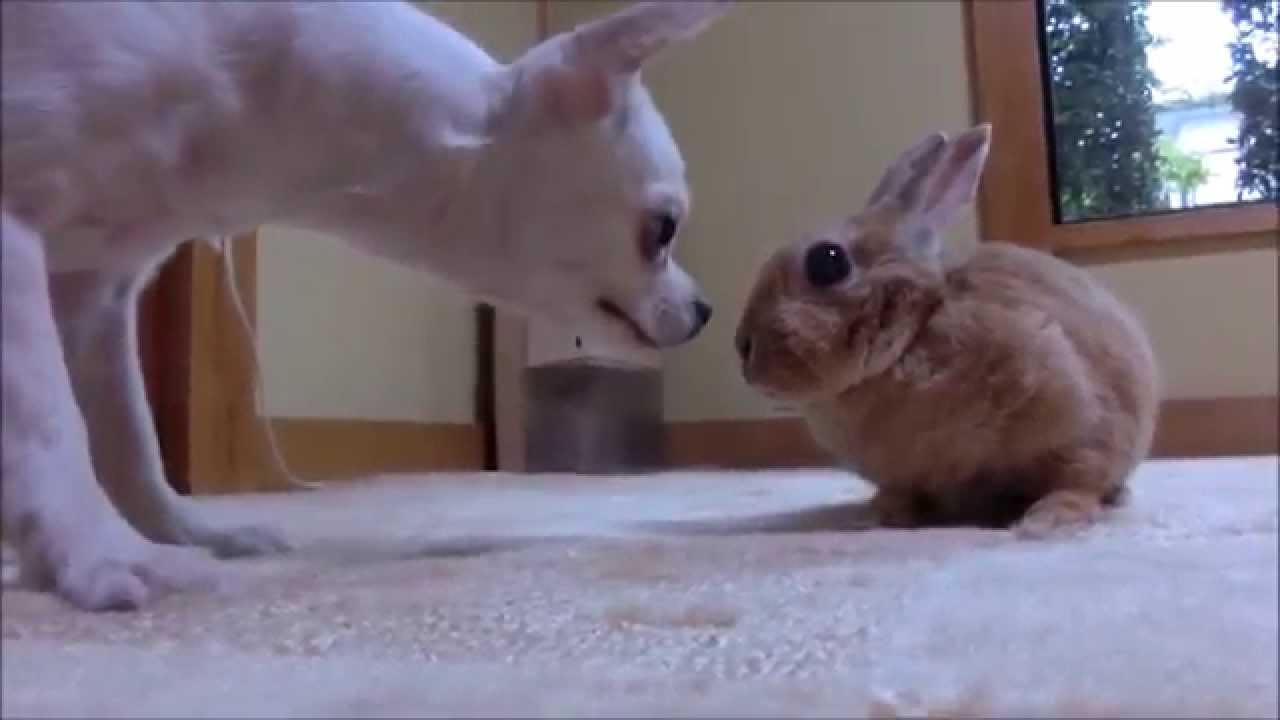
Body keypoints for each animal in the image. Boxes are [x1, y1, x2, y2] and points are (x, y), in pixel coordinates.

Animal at [733, 124, 1160, 537]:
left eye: (827, 262)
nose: (743, 348)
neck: (914, 332)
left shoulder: (1077, 420)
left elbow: (1077, 479)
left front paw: (1046, 522)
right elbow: (901, 496)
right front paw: (877, 516)